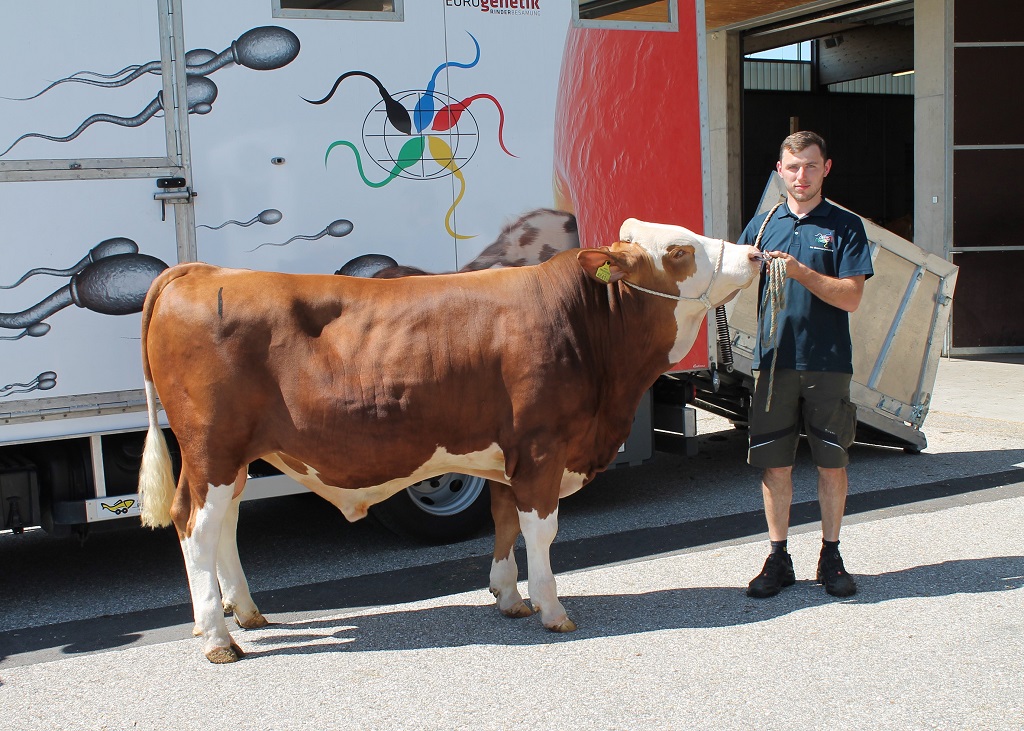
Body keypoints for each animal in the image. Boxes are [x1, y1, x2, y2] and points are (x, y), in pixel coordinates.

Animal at [136, 218, 761, 659]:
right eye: (678, 250)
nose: (755, 253)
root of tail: (203, 272)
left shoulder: (508, 452)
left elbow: (505, 522)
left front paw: (509, 597)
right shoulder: (542, 446)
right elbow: (541, 529)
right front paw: (551, 607)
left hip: (235, 455)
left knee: (226, 525)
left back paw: (244, 612)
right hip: (211, 448)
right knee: (195, 525)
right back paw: (218, 637)